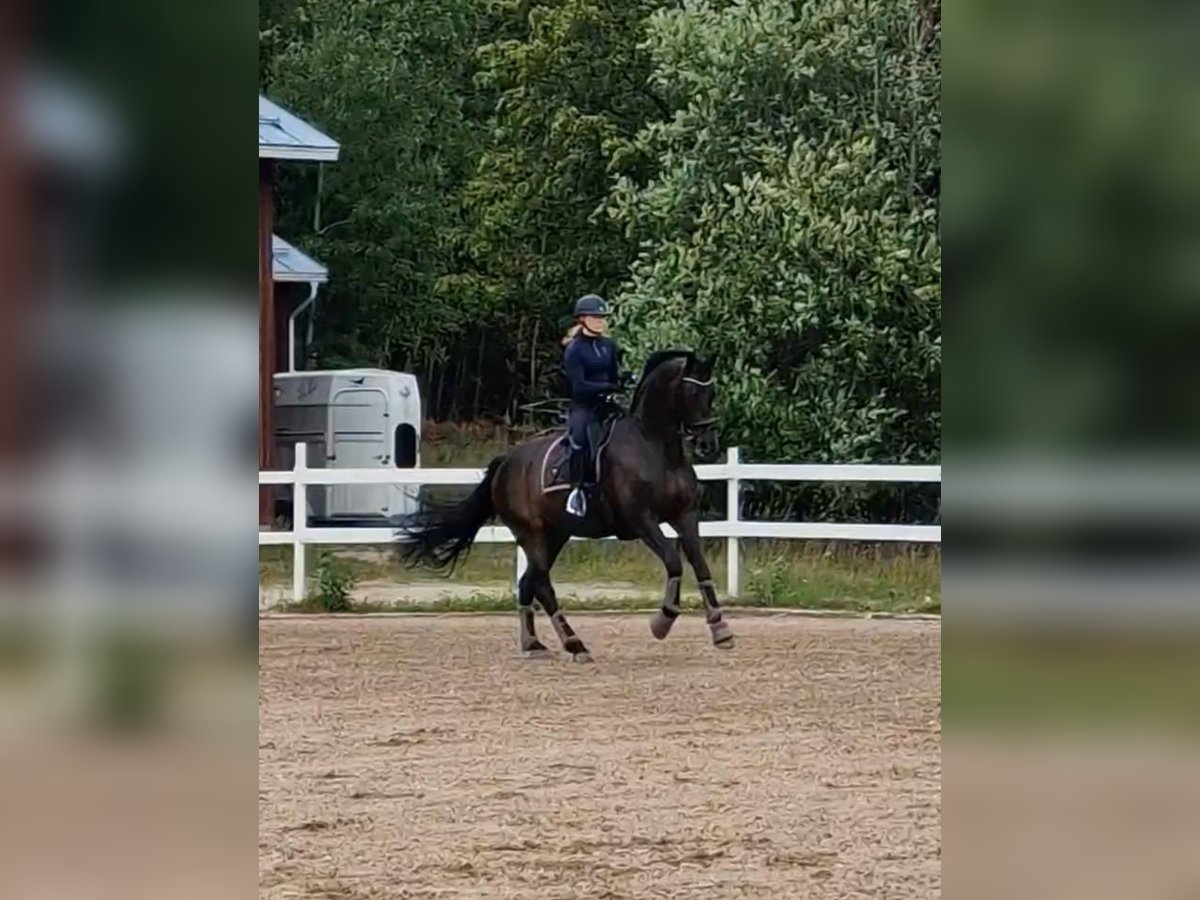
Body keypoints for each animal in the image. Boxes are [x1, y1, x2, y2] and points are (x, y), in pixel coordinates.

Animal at [398, 350, 729, 662]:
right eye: (691, 392)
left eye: (712, 392)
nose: (707, 444)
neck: (653, 447)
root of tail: (505, 463)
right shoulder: (642, 521)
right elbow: (674, 563)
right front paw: (662, 622)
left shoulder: (684, 516)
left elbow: (700, 565)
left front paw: (720, 628)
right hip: (531, 533)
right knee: (542, 585)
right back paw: (575, 645)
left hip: (556, 534)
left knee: (528, 583)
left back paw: (534, 644)